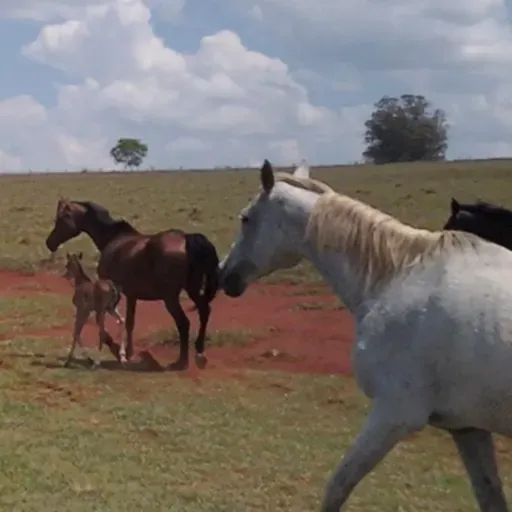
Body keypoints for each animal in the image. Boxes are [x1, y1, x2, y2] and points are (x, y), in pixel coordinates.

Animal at [45, 198, 219, 370]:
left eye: (61, 219)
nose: (49, 243)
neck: (113, 238)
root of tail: (188, 240)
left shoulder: (113, 295)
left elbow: (108, 324)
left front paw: (118, 351)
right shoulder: (131, 295)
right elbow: (129, 322)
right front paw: (127, 352)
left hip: (171, 298)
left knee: (184, 323)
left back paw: (182, 361)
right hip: (193, 290)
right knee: (204, 312)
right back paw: (199, 354)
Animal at [217, 158, 512, 510]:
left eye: (246, 218)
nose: (223, 275)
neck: (397, 277)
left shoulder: (394, 415)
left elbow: (337, 487)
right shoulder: (467, 427)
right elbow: (491, 496)